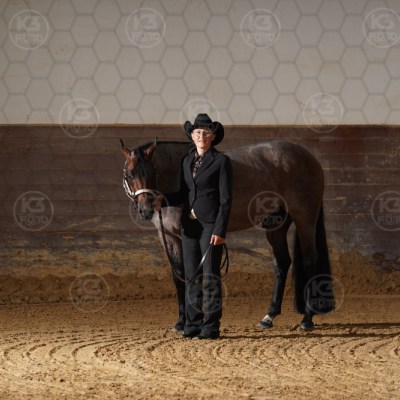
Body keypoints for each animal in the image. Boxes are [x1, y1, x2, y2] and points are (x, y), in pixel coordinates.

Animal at [120, 139, 335, 331]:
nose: (146, 210)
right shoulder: (169, 238)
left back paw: (307, 319)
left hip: (305, 221)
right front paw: (180, 322)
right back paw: (269, 317)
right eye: (129, 174)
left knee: (309, 262)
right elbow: (179, 277)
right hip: (276, 225)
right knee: (281, 263)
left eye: (152, 171)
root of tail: (309, 158)